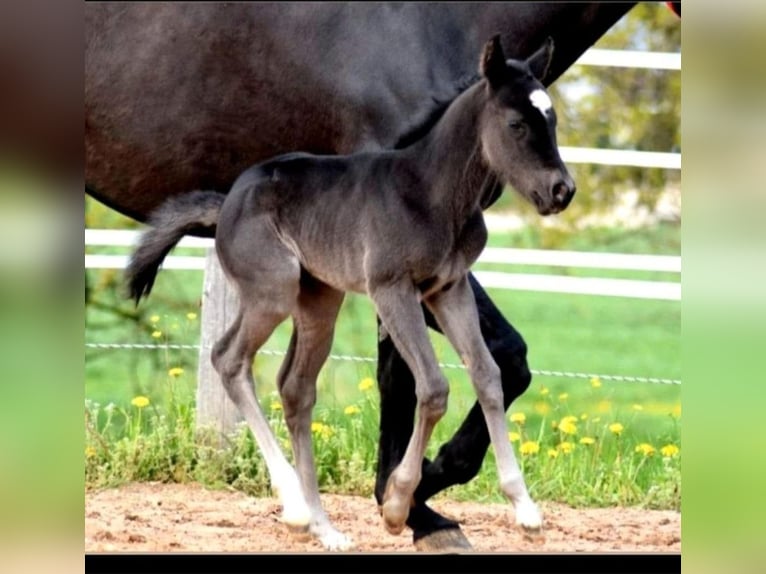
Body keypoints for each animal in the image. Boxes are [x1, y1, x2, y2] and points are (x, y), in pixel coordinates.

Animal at [85, 3, 680, 552]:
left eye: (552, 121)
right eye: (516, 124)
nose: (561, 191)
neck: (429, 188)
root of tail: (225, 202)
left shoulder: (448, 288)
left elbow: (490, 371)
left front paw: (522, 508)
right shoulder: (391, 289)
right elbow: (428, 384)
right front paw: (402, 504)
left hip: (319, 301)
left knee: (296, 388)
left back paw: (326, 528)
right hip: (272, 294)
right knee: (230, 360)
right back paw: (297, 508)